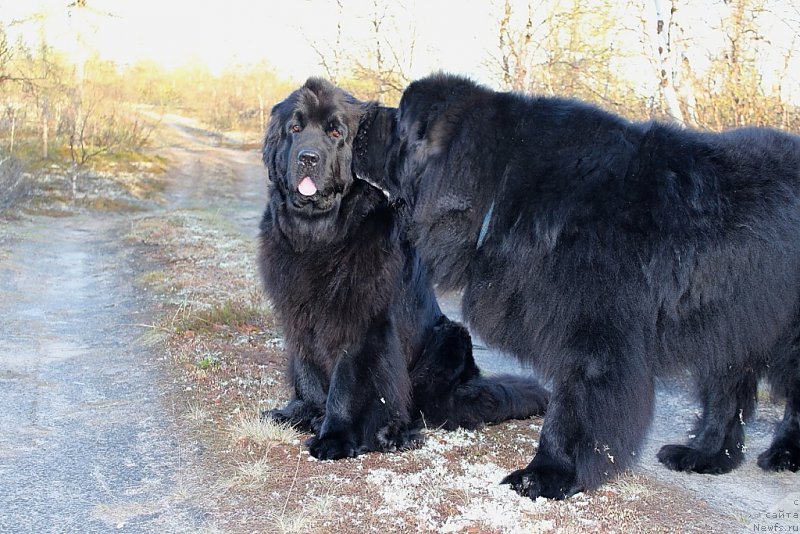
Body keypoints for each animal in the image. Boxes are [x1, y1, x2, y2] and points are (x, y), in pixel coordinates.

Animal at [260, 77, 548, 462]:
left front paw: (335, 436)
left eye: (336, 132)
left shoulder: (361, 323)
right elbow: (307, 371)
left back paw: (395, 432)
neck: (320, 234)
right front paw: (303, 413)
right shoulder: (298, 315)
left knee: (424, 407)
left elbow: (346, 382)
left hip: (450, 338)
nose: (308, 157)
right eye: (295, 128)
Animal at [356, 73, 800, 500]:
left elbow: (574, 408)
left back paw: (784, 453)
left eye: (398, 119)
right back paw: (704, 454)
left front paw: (547, 474)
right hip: (732, 324)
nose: (360, 118)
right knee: (727, 393)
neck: (503, 183)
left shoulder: (595, 336)